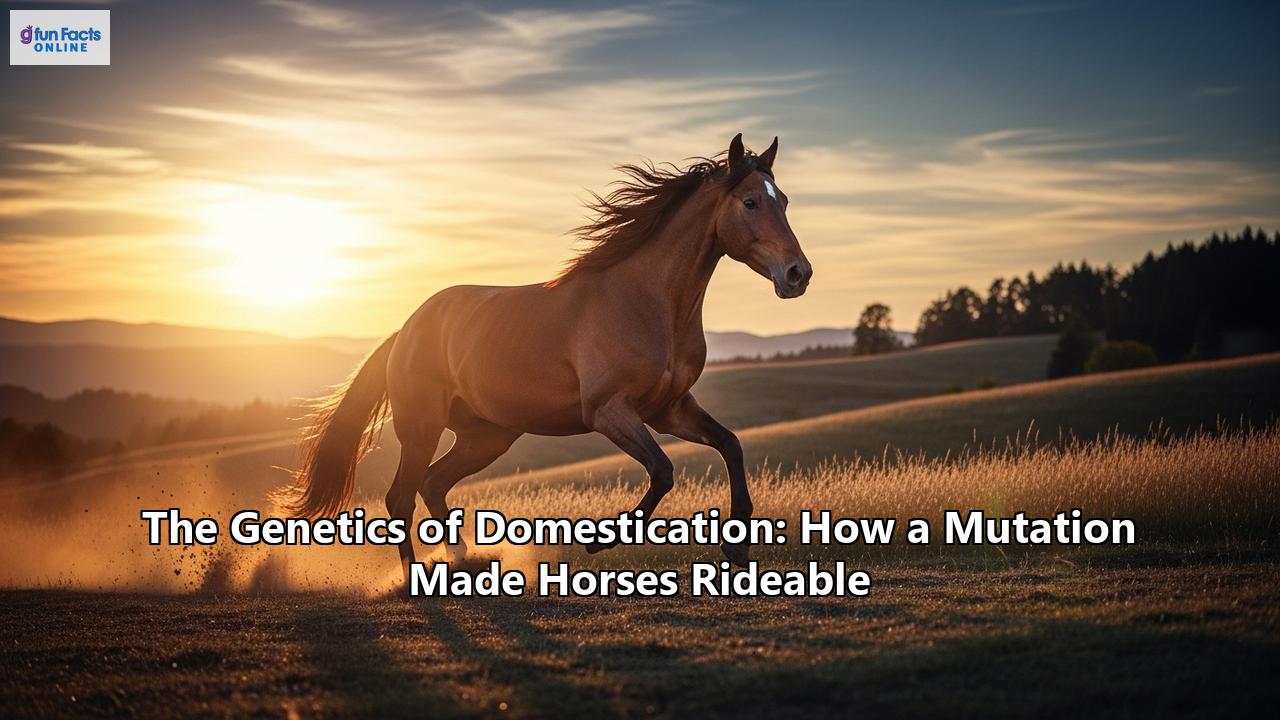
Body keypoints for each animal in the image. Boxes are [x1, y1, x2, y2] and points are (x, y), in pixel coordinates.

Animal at [280, 134, 812, 582]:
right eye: (750, 201)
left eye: (783, 200)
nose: (797, 274)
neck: (645, 302)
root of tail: (405, 331)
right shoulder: (609, 412)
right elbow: (663, 471)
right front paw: (599, 544)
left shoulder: (669, 409)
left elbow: (731, 446)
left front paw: (737, 549)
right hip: (422, 429)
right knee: (400, 498)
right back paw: (417, 579)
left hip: (487, 437)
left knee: (433, 485)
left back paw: (463, 563)